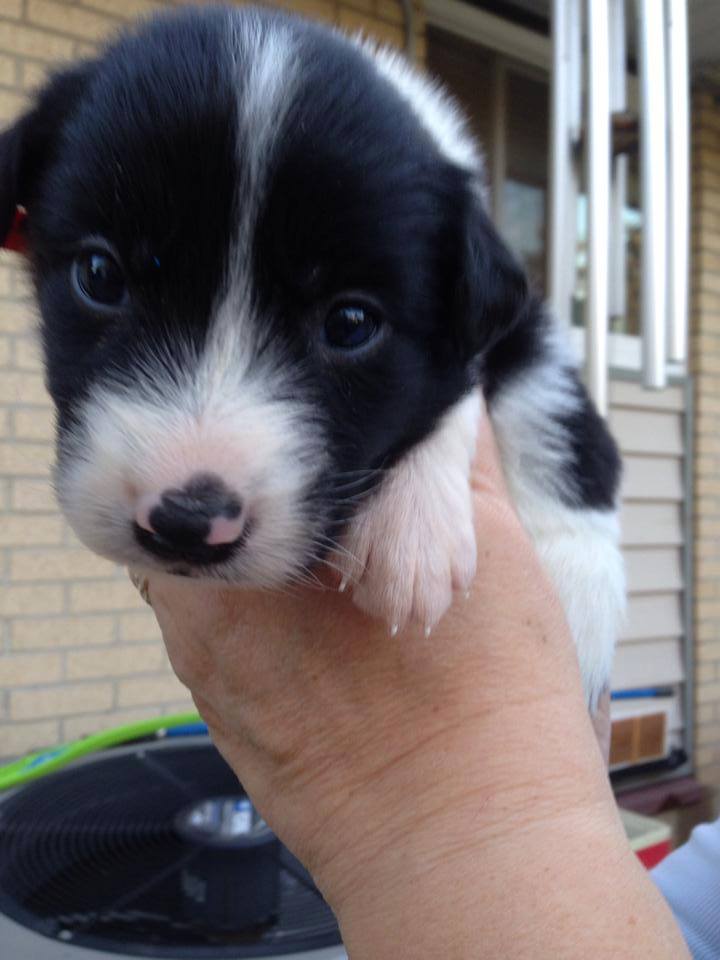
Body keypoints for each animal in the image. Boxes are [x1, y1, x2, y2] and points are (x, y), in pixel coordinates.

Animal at [0, 5, 620, 704]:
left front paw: (415, 535)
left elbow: (505, 395)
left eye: (350, 323)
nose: (188, 521)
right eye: (100, 276)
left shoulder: (510, 321)